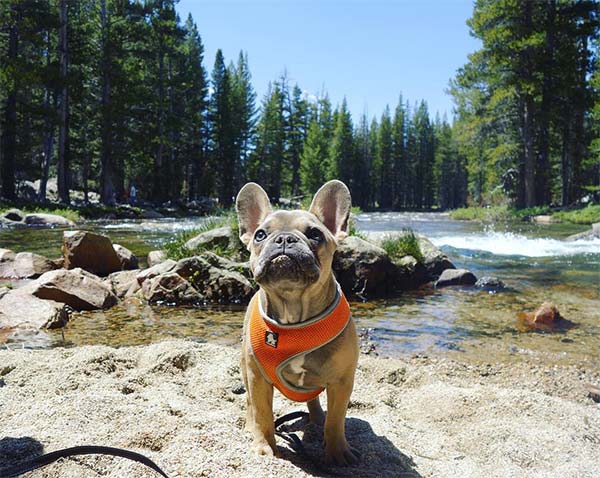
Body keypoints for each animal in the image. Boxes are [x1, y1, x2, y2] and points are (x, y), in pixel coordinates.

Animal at [234, 181, 358, 464]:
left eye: (315, 234)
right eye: (260, 235)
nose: (284, 238)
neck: (293, 312)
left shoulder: (342, 382)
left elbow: (336, 420)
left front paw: (337, 451)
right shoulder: (258, 379)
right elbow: (264, 414)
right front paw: (264, 446)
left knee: (314, 401)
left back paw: (317, 418)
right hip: (246, 369)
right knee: (250, 404)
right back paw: (250, 425)